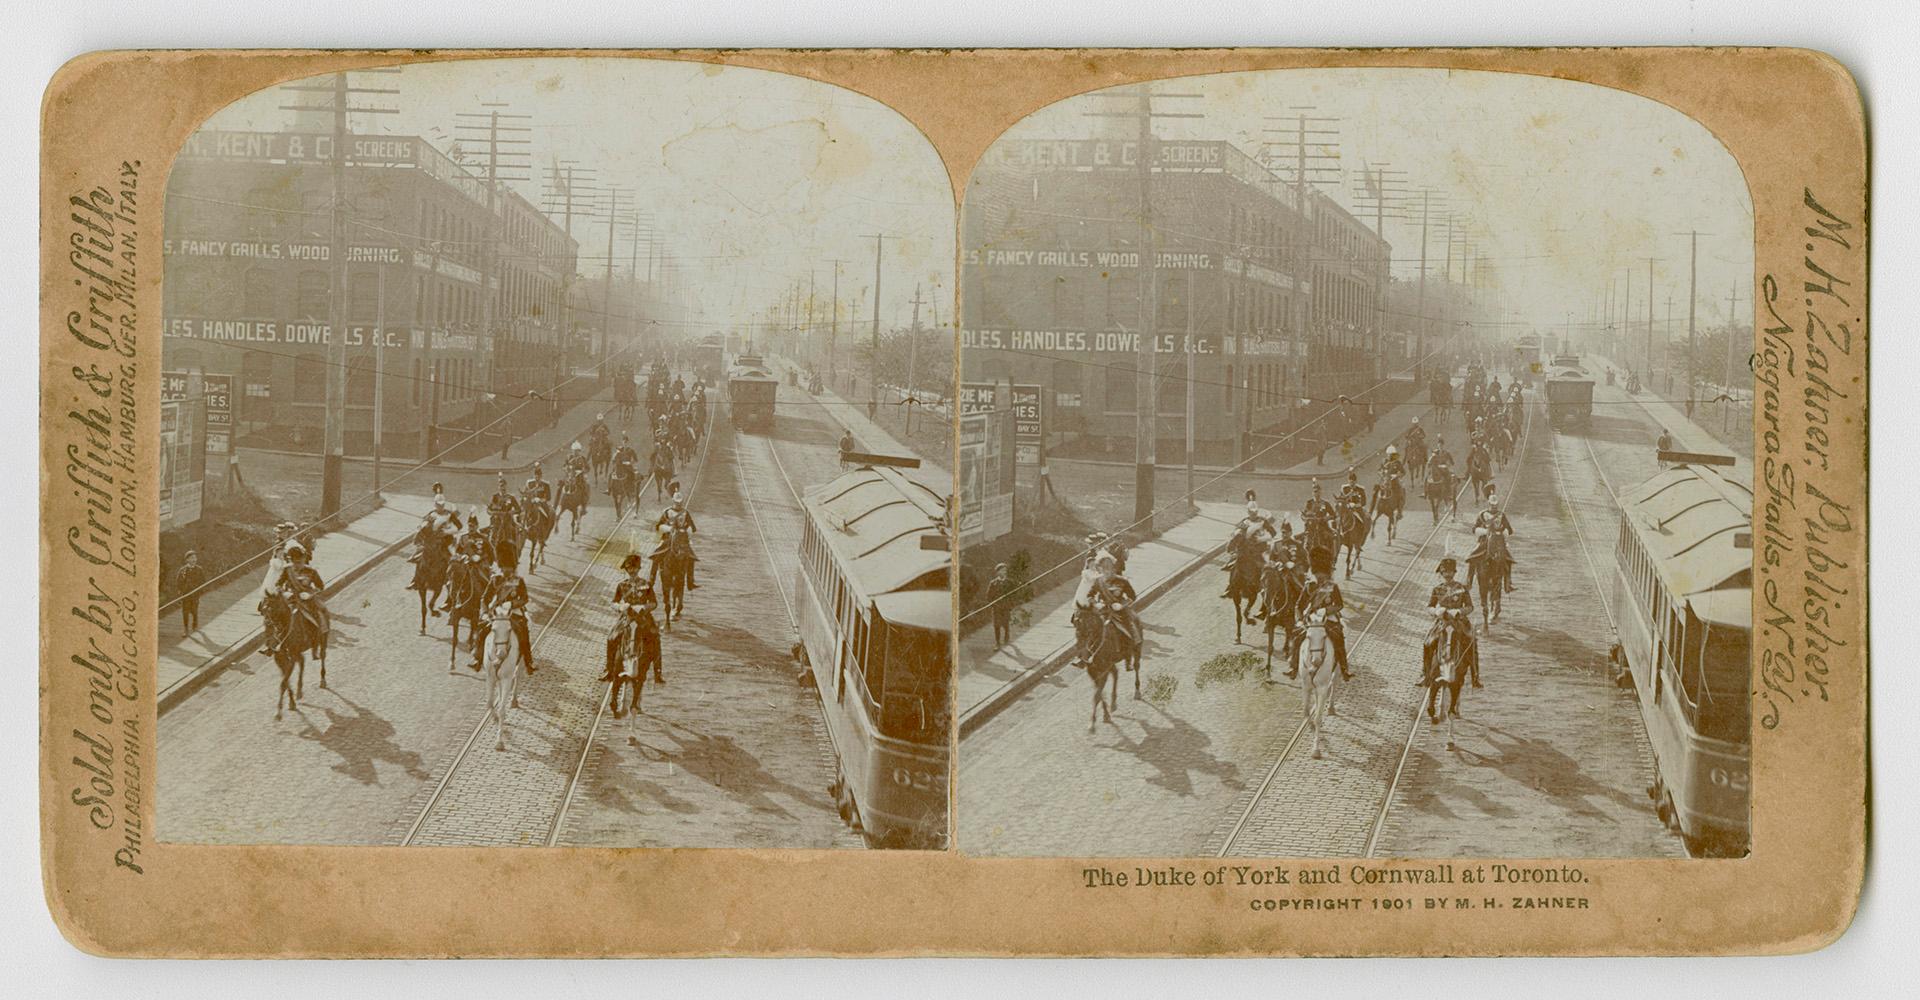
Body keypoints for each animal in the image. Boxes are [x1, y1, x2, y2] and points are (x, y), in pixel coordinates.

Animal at [483, 598, 529, 748]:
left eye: (509, 629)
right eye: (493, 629)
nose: (501, 654)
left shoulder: (507, 679)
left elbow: (502, 709)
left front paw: (499, 741)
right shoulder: (490, 677)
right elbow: (490, 703)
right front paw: (495, 718)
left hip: (520, 663)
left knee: (517, 677)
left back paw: (514, 700)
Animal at [1297, 602, 1344, 760]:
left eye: (1324, 636)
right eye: (1308, 636)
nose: (1316, 661)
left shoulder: (1323, 687)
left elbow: (1318, 717)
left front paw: (1316, 749)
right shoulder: (1306, 686)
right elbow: (1306, 712)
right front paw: (1310, 725)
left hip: (1336, 671)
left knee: (1334, 685)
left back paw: (1330, 708)